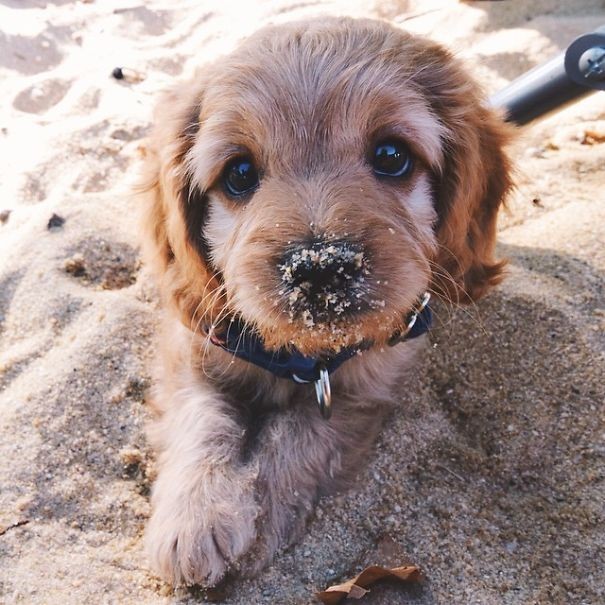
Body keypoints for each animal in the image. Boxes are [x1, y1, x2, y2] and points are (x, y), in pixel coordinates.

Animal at [139, 17, 512, 584]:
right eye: (239, 173)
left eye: (391, 156)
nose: (318, 266)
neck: (303, 354)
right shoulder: (193, 347)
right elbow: (201, 417)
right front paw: (194, 517)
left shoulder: (368, 385)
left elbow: (297, 438)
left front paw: (261, 514)